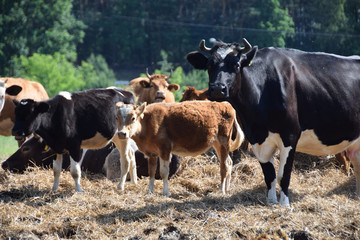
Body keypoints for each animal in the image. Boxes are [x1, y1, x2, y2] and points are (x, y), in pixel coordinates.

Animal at [116, 100, 245, 196]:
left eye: (133, 117)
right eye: (117, 117)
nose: (121, 133)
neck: (147, 123)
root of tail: (225, 104)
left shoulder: (164, 150)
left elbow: (163, 172)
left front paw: (165, 192)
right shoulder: (151, 152)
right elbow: (151, 171)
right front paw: (150, 191)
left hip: (224, 141)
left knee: (224, 166)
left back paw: (222, 190)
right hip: (217, 143)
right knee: (229, 162)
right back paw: (227, 188)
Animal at [187, 39, 360, 204]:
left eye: (236, 65)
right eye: (209, 65)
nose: (217, 89)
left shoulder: (290, 135)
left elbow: (283, 174)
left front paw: (284, 204)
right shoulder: (257, 138)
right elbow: (269, 174)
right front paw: (271, 202)